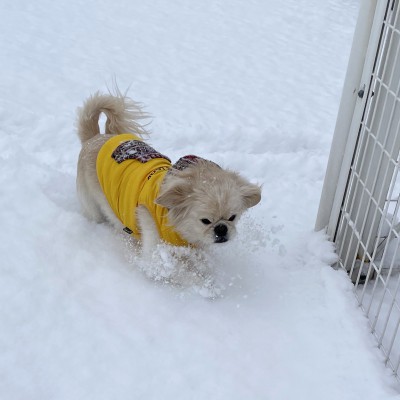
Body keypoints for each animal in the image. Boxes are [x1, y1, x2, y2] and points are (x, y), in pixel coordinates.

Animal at [75, 91, 262, 260]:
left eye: (232, 217)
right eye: (205, 221)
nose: (222, 228)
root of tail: (95, 137)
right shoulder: (155, 246)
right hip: (92, 206)